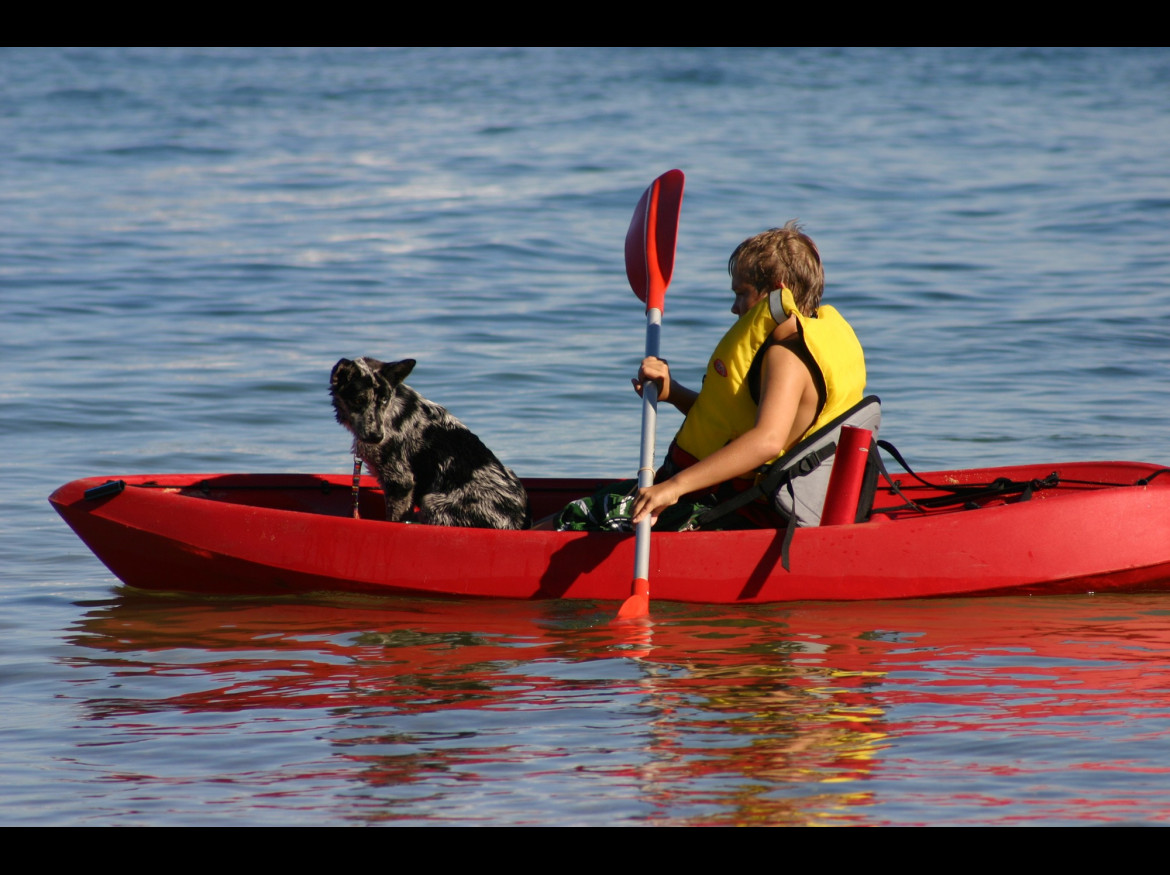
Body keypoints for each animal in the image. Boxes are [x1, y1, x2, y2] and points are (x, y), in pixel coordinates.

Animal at [329, 353, 531, 526]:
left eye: (384, 400)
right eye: (358, 400)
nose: (377, 437)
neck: (389, 414)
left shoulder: (399, 481)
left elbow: (394, 519)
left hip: (432, 502)